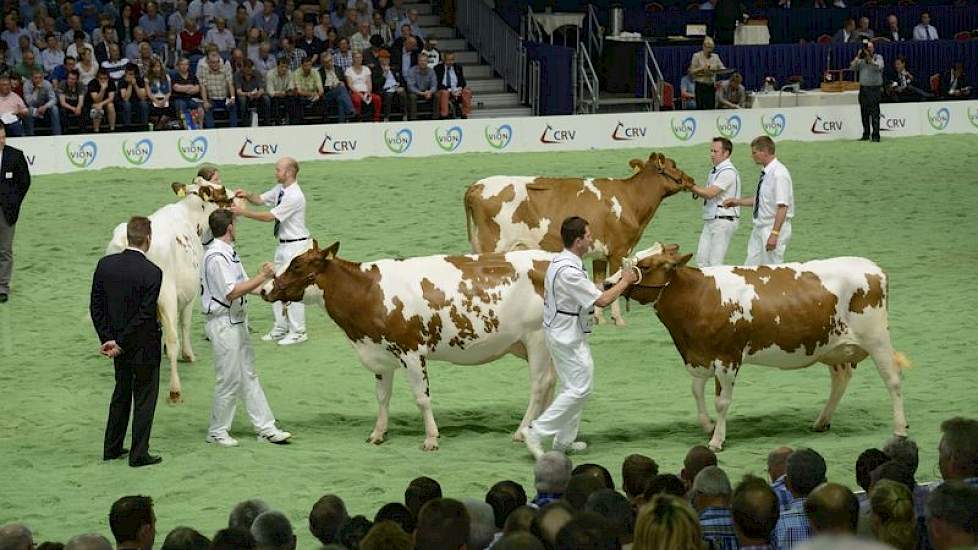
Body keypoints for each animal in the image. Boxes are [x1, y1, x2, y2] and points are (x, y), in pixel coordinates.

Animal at [105, 178, 236, 406]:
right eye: (219, 191)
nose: (234, 194)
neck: (190, 215)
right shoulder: (188, 295)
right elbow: (184, 324)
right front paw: (188, 355)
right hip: (166, 295)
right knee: (173, 337)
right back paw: (175, 390)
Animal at [264, 243, 560, 452]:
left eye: (297, 266)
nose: (267, 288)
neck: (369, 293)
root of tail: (549, 257)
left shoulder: (412, 351)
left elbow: (421, 398)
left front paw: (431, 439)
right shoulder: (381, 355)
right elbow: (382, 397)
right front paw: (378, 434)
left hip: (536, 339)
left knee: (539, 385)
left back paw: (522, 431)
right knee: (551, 382)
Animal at [462, 152, 692, 328]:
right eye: (674, 165)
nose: (691, 180)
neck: (630, 199)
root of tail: (477, 185)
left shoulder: (600, 252)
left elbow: (600, 282)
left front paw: (599, 318)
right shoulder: (619, 250)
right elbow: (615, 281)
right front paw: (618, 319)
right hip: (494, 245)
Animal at [608, 246, 912, 452]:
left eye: (646, 266)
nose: (609, 283)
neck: (698, 297)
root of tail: (873, 267)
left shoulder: (727, 356)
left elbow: (722, 401)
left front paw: (717, 440)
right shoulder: (699, 355)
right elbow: (696, 391)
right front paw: (707, 425)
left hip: (876, 338)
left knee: (893, 379)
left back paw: (899, 430)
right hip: (833, 347)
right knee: (841, 379)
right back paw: (821, 421)